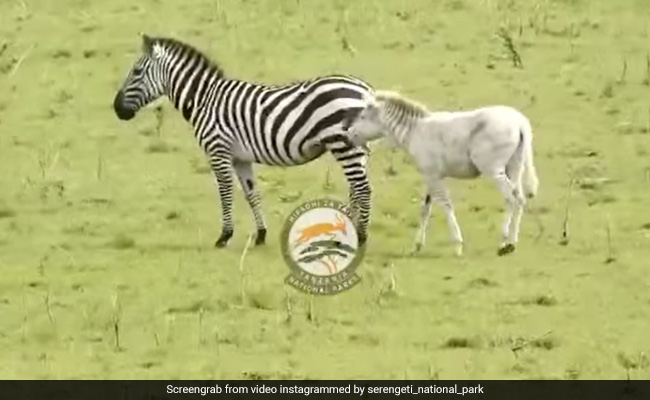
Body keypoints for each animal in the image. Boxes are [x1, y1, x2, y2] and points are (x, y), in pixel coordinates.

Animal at [112, 34, 375, 248]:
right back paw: (348, 232)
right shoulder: (241, 158)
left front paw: (224, 236)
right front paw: (261, 234)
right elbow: (251, 194)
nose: (116, 109)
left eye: (136, 72)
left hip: (344, 145)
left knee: (363, 189)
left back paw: (361, 237)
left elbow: (225, 192)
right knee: (356, 189)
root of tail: (364, 88)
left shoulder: (218, 150)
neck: (204, 100)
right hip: (355, 148)